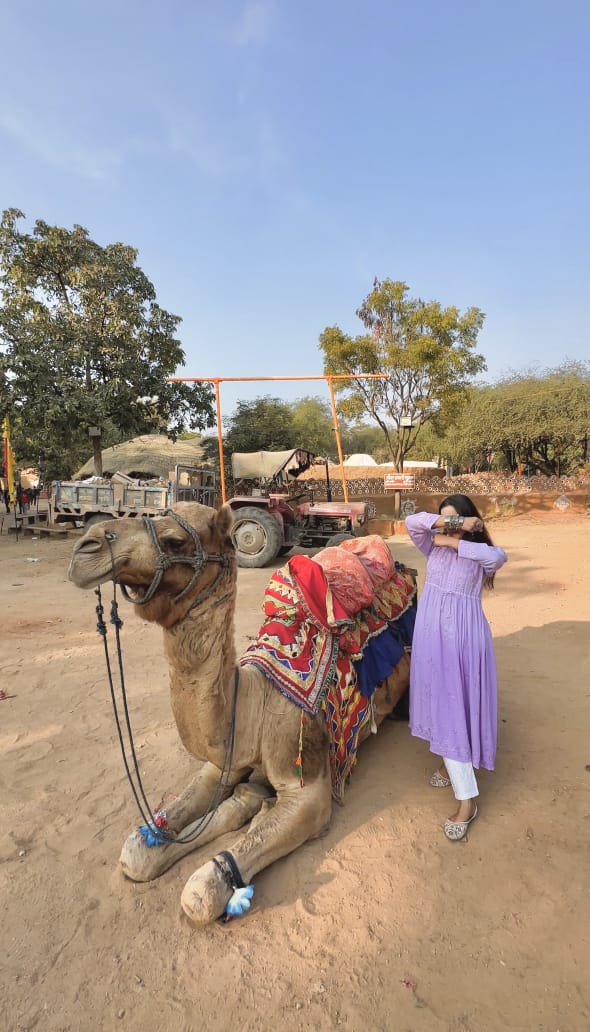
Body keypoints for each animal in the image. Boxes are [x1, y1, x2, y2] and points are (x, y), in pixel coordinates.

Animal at [67, 501, 412, 928]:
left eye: (175, 540)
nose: (86, 546)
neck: (251, 703)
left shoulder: (307, 784)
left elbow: (198, 893)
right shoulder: (222, 762)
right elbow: (138, 851)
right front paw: (245, 804)